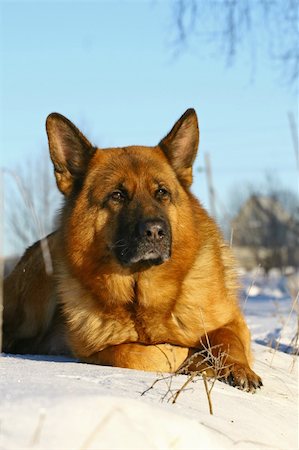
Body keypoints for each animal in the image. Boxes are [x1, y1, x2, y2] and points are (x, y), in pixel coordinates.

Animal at [3, 109, 264, 390]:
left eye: (161, 192)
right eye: (117, 195)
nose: (155, 231)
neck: (142, 295)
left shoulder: (234, 322)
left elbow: (227, 338)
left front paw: (238, 368)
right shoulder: (97, 351)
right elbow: (142, 353)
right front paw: (192, 358)